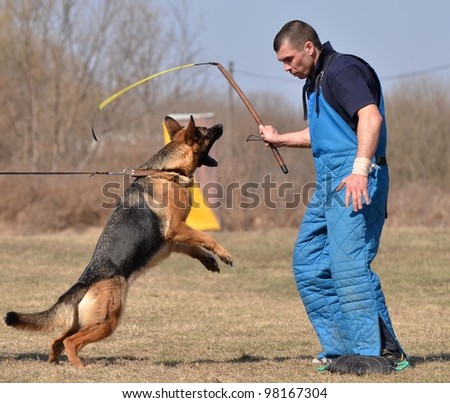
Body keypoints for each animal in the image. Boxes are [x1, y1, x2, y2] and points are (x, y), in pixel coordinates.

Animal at [2, 116, 232, 370]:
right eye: (206, 132)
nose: (221, 125)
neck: (168, 171)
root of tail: (84, 283)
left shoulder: (172, 241)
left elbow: (195, 247)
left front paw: (210, 260)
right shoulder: (176, 228)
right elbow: (207, 237)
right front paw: (224, 253)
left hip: (87, 322)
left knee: (57, 340)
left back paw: (56, 362)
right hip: (108, 322)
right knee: (71, 342)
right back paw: (80, 369)